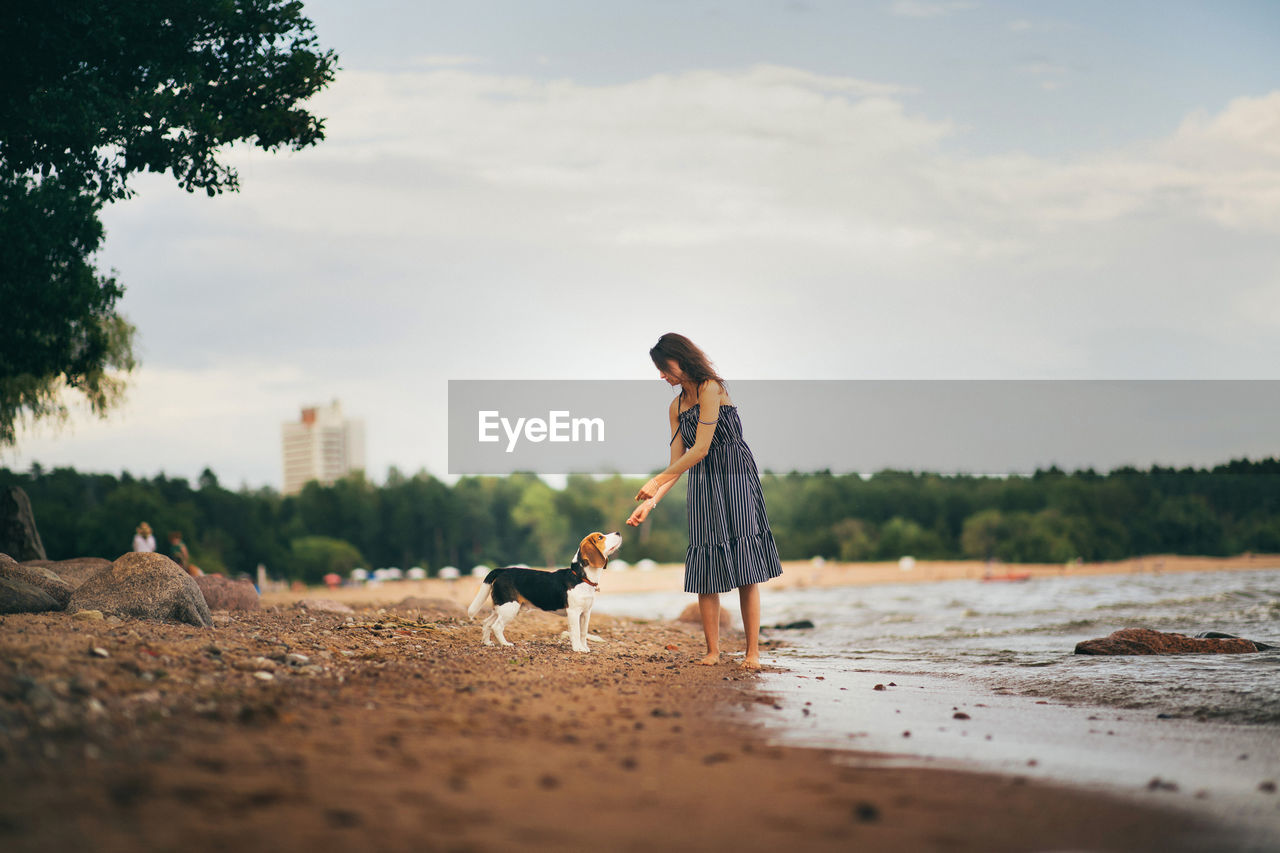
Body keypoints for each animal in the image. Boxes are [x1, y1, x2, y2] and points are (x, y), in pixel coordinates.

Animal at [468, 532, 622, 650]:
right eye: (600, 537)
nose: (618, 533)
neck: (581, 577)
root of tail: (502, 570)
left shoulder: (586, 613)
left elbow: (583, 633)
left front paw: (584, 648)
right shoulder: (573, 612)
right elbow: (576, 632)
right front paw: (578, 649)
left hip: (501, 607)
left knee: (487, 623)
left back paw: (487, 643)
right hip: (509, 608)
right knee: (497, 626)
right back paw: (505, 644)